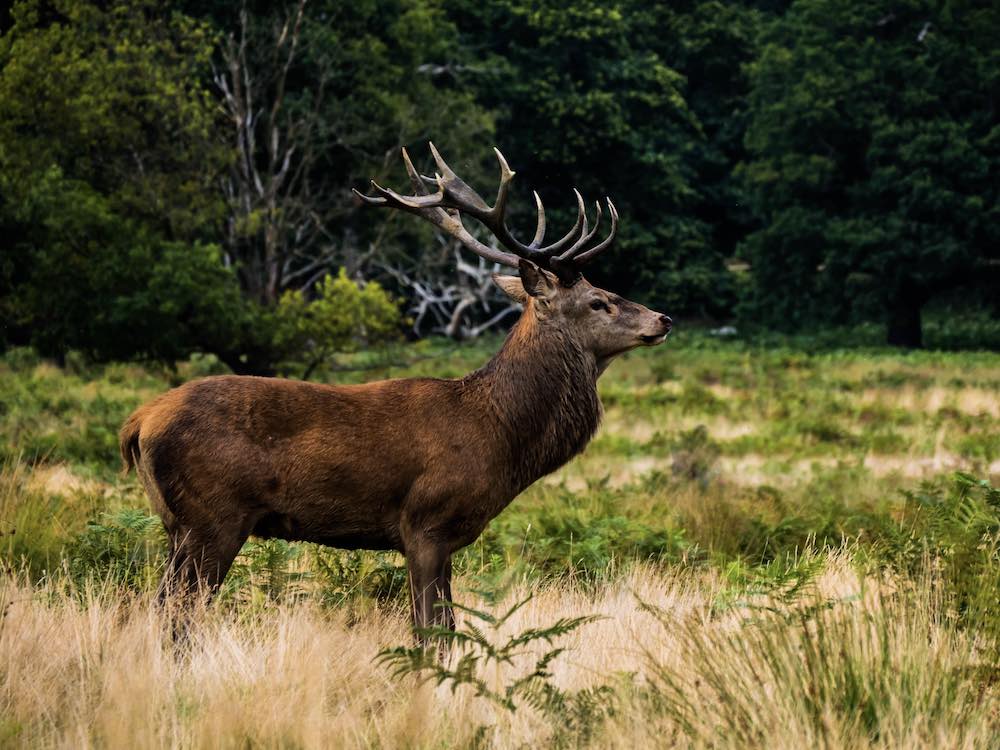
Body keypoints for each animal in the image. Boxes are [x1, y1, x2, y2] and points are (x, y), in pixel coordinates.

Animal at [119, 143, 672, 636]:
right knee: (177, 616)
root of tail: (137, 423)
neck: (498, 435)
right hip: (213, 517)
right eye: (599, 300)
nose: (662, 318)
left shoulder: (444, 537)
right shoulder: (425, 523)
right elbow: (431, 630)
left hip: (177, 525)